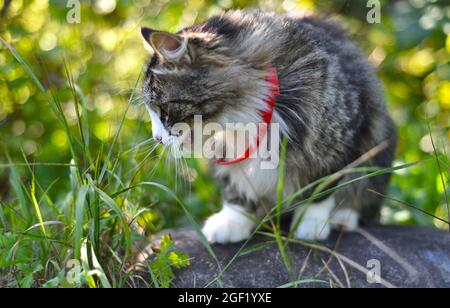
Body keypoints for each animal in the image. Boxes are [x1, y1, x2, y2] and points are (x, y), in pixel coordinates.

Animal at [139, 10, 396, 243]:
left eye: (163, 111)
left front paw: (311, 224)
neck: (240, 121)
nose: (157, 138)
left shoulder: (339, 142)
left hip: (379, 141)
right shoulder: (229, 161)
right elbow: (238, 195)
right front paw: (233, 222)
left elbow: (319, 189)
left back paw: (341, 218)